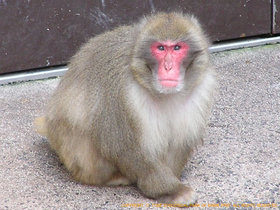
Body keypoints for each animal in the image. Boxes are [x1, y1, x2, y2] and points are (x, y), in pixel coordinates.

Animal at [34, 12, 217, 206]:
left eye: (177, 48)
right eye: (160, 48)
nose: (168, 67)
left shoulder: (200, 89)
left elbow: (180, 141)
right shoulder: (122, 91)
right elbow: (123, 145)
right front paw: (168, 190)